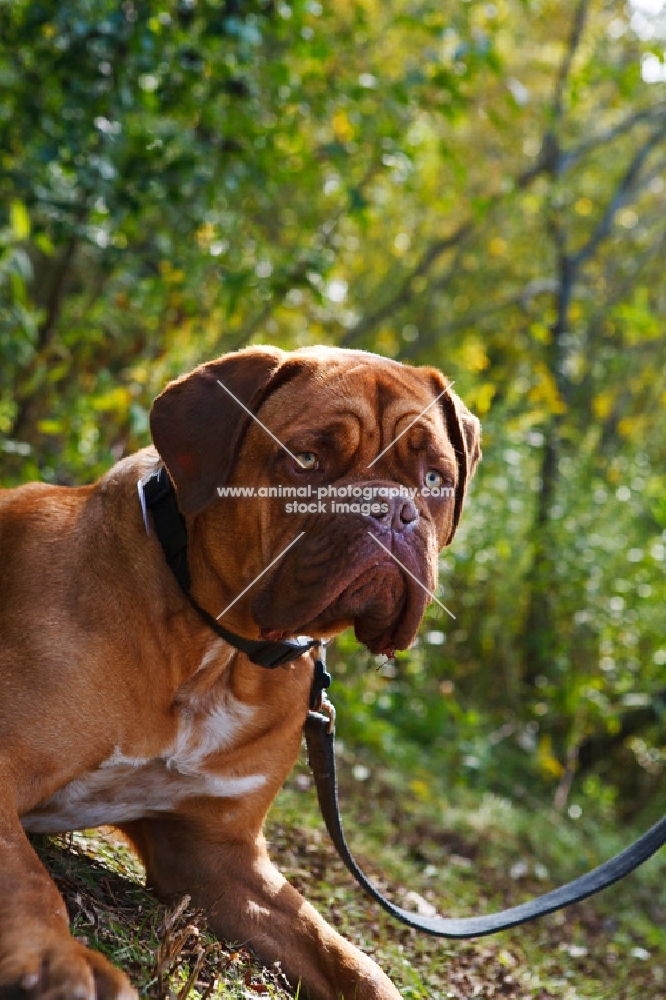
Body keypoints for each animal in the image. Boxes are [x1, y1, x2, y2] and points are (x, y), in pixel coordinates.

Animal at [0, 346, 478, 1000]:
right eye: (306, 460)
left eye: (434, 479)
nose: (390, 510)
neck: (217, 655)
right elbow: (26, 877)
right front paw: (55, 959)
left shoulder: (221, 858)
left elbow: (349, 959)